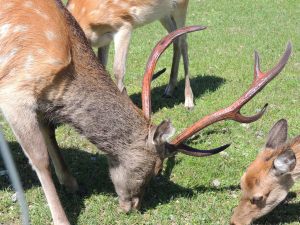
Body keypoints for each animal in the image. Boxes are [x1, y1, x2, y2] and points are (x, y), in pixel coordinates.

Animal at [65, 0, 197, 109]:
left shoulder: (124, 25)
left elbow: (118, 71)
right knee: (175, 38)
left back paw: (189, 100)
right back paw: (169, 90)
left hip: (180, 6)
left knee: (184, 41)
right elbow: (101, 67)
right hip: (163, 13)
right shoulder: (104, 39)